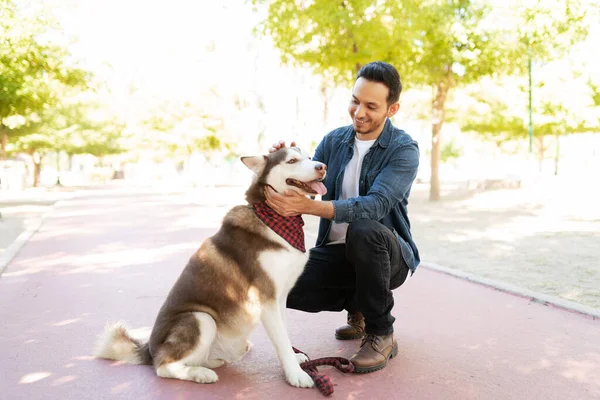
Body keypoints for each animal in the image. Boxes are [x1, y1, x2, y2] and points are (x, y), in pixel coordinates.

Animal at [94, 146, 328, 388]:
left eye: (310, 157)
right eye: (292, 160)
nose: (322, 167)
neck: (275, 220)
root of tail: (149, 349)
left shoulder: (279, 297)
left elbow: (284, 334)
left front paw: (295, 358)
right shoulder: (266, 299)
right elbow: (281, 339)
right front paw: (296, 374)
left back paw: (210, 363)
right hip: (200, 318)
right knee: (163, 366)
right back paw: (200, 374)